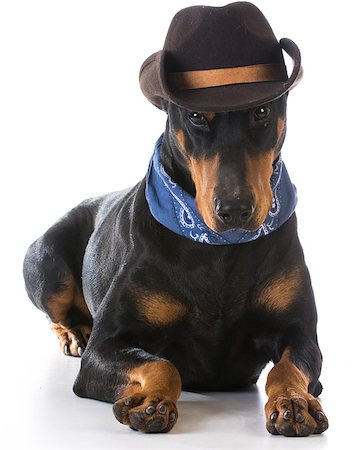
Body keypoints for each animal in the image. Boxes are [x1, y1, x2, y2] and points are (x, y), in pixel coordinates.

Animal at [23, 0, 330, 436]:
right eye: (197, 117)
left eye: (262, 111)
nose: (234, 209)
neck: (218, 249)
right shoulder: (107, 345)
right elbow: (163, 364)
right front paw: (151, 402)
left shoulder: (301, 334)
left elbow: (287, 367)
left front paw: (293, 402)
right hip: (46, 261)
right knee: (58, 309)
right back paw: (74, 332)